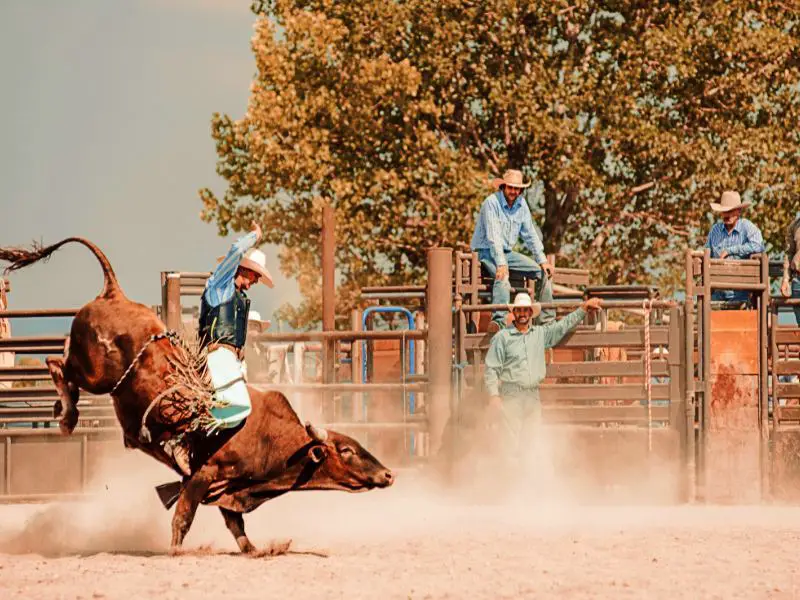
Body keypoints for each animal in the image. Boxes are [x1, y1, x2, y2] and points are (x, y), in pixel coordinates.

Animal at [0, 238, 394, 552]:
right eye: (346, 450)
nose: (389, 475)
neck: (269, 437)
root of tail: (114, 293)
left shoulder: (226, 488)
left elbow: (236, 525)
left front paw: (259, 549)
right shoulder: (204, 474)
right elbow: (183, 516)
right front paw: (176, 550)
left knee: (60, 363)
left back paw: (63, 411)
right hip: (96, 373)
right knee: (57, 364)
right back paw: (67, 416)